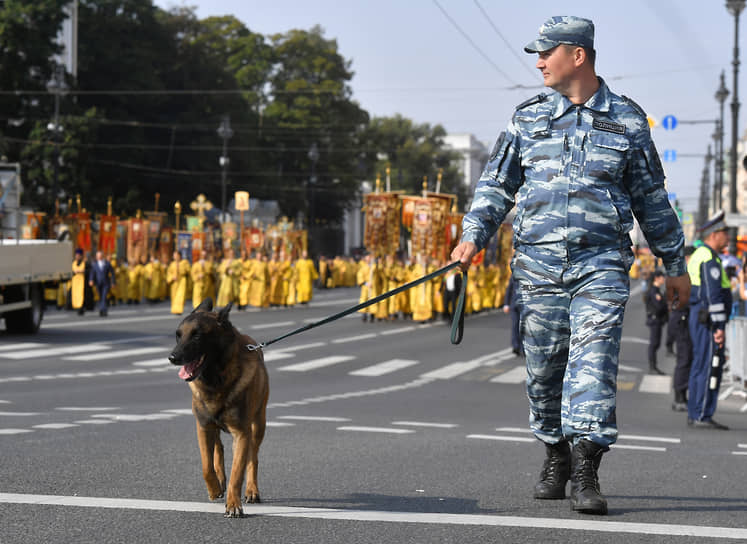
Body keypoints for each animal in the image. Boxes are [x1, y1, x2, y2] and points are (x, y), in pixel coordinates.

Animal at [169, 300, 268, 516]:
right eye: (178, 335)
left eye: (197, 335)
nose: (172, 357)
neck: (215, 381)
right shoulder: (203, 426)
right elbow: (207, 466)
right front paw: (214, 489)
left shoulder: (242, 433)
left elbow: (237, 472)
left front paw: (233, 504)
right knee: (218, 449)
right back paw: (220, 480)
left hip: (258, 425)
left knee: (253, 458)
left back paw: (252, 490)